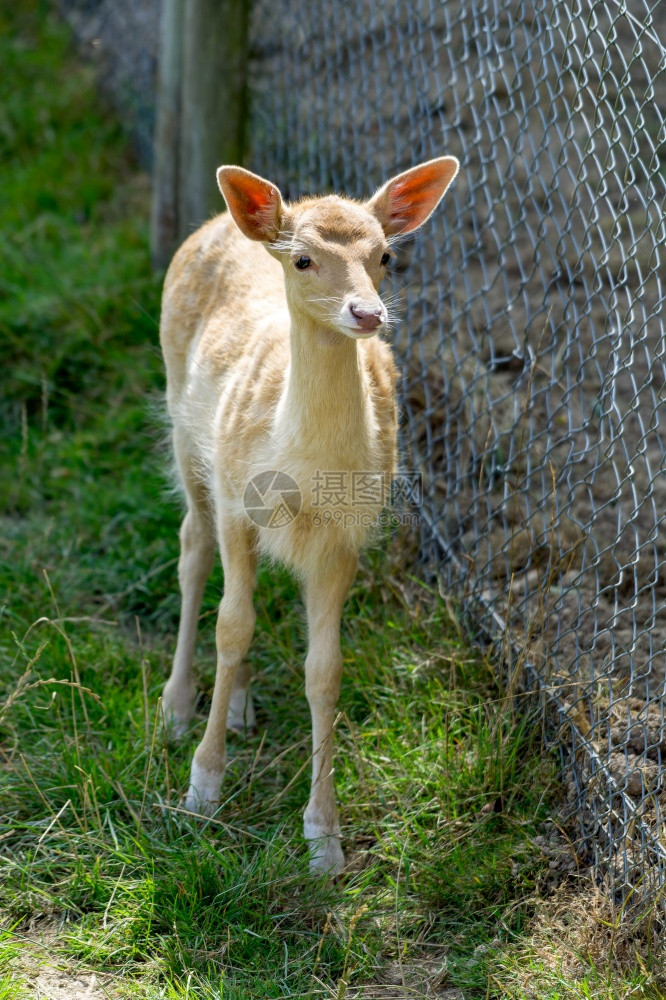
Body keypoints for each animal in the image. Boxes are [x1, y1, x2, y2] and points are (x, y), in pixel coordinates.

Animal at [160, 156, 456, 876]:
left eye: (385, 255)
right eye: (303, 259)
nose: (367, 312)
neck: (300, 466)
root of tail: (220, 224)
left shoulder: (343, 536)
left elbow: (325, 670)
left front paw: (324, 838)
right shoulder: (237, 497)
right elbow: (231, 627)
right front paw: (202, 787)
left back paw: (238, 704)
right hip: (186, 434)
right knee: (193, 553)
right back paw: (178, 707)